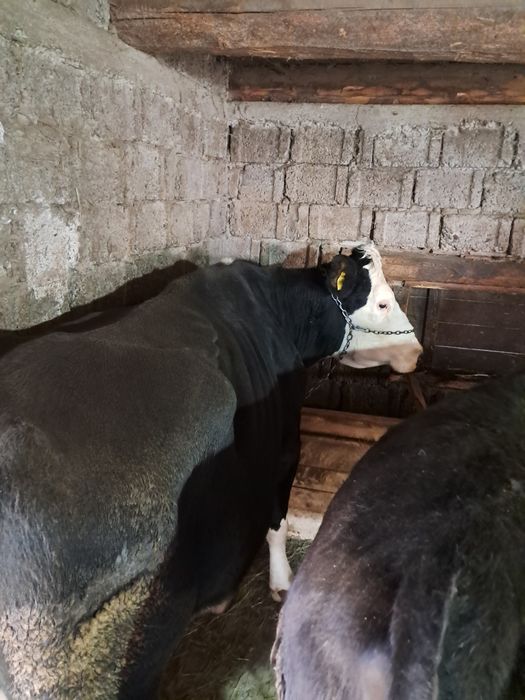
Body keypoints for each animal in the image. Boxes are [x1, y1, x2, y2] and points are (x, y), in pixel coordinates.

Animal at [0, 242, 421, 699]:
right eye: (382, 302)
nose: (416, 350)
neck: (280, 313)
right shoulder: (285, 446)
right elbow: (277, 521)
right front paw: (282, 581)